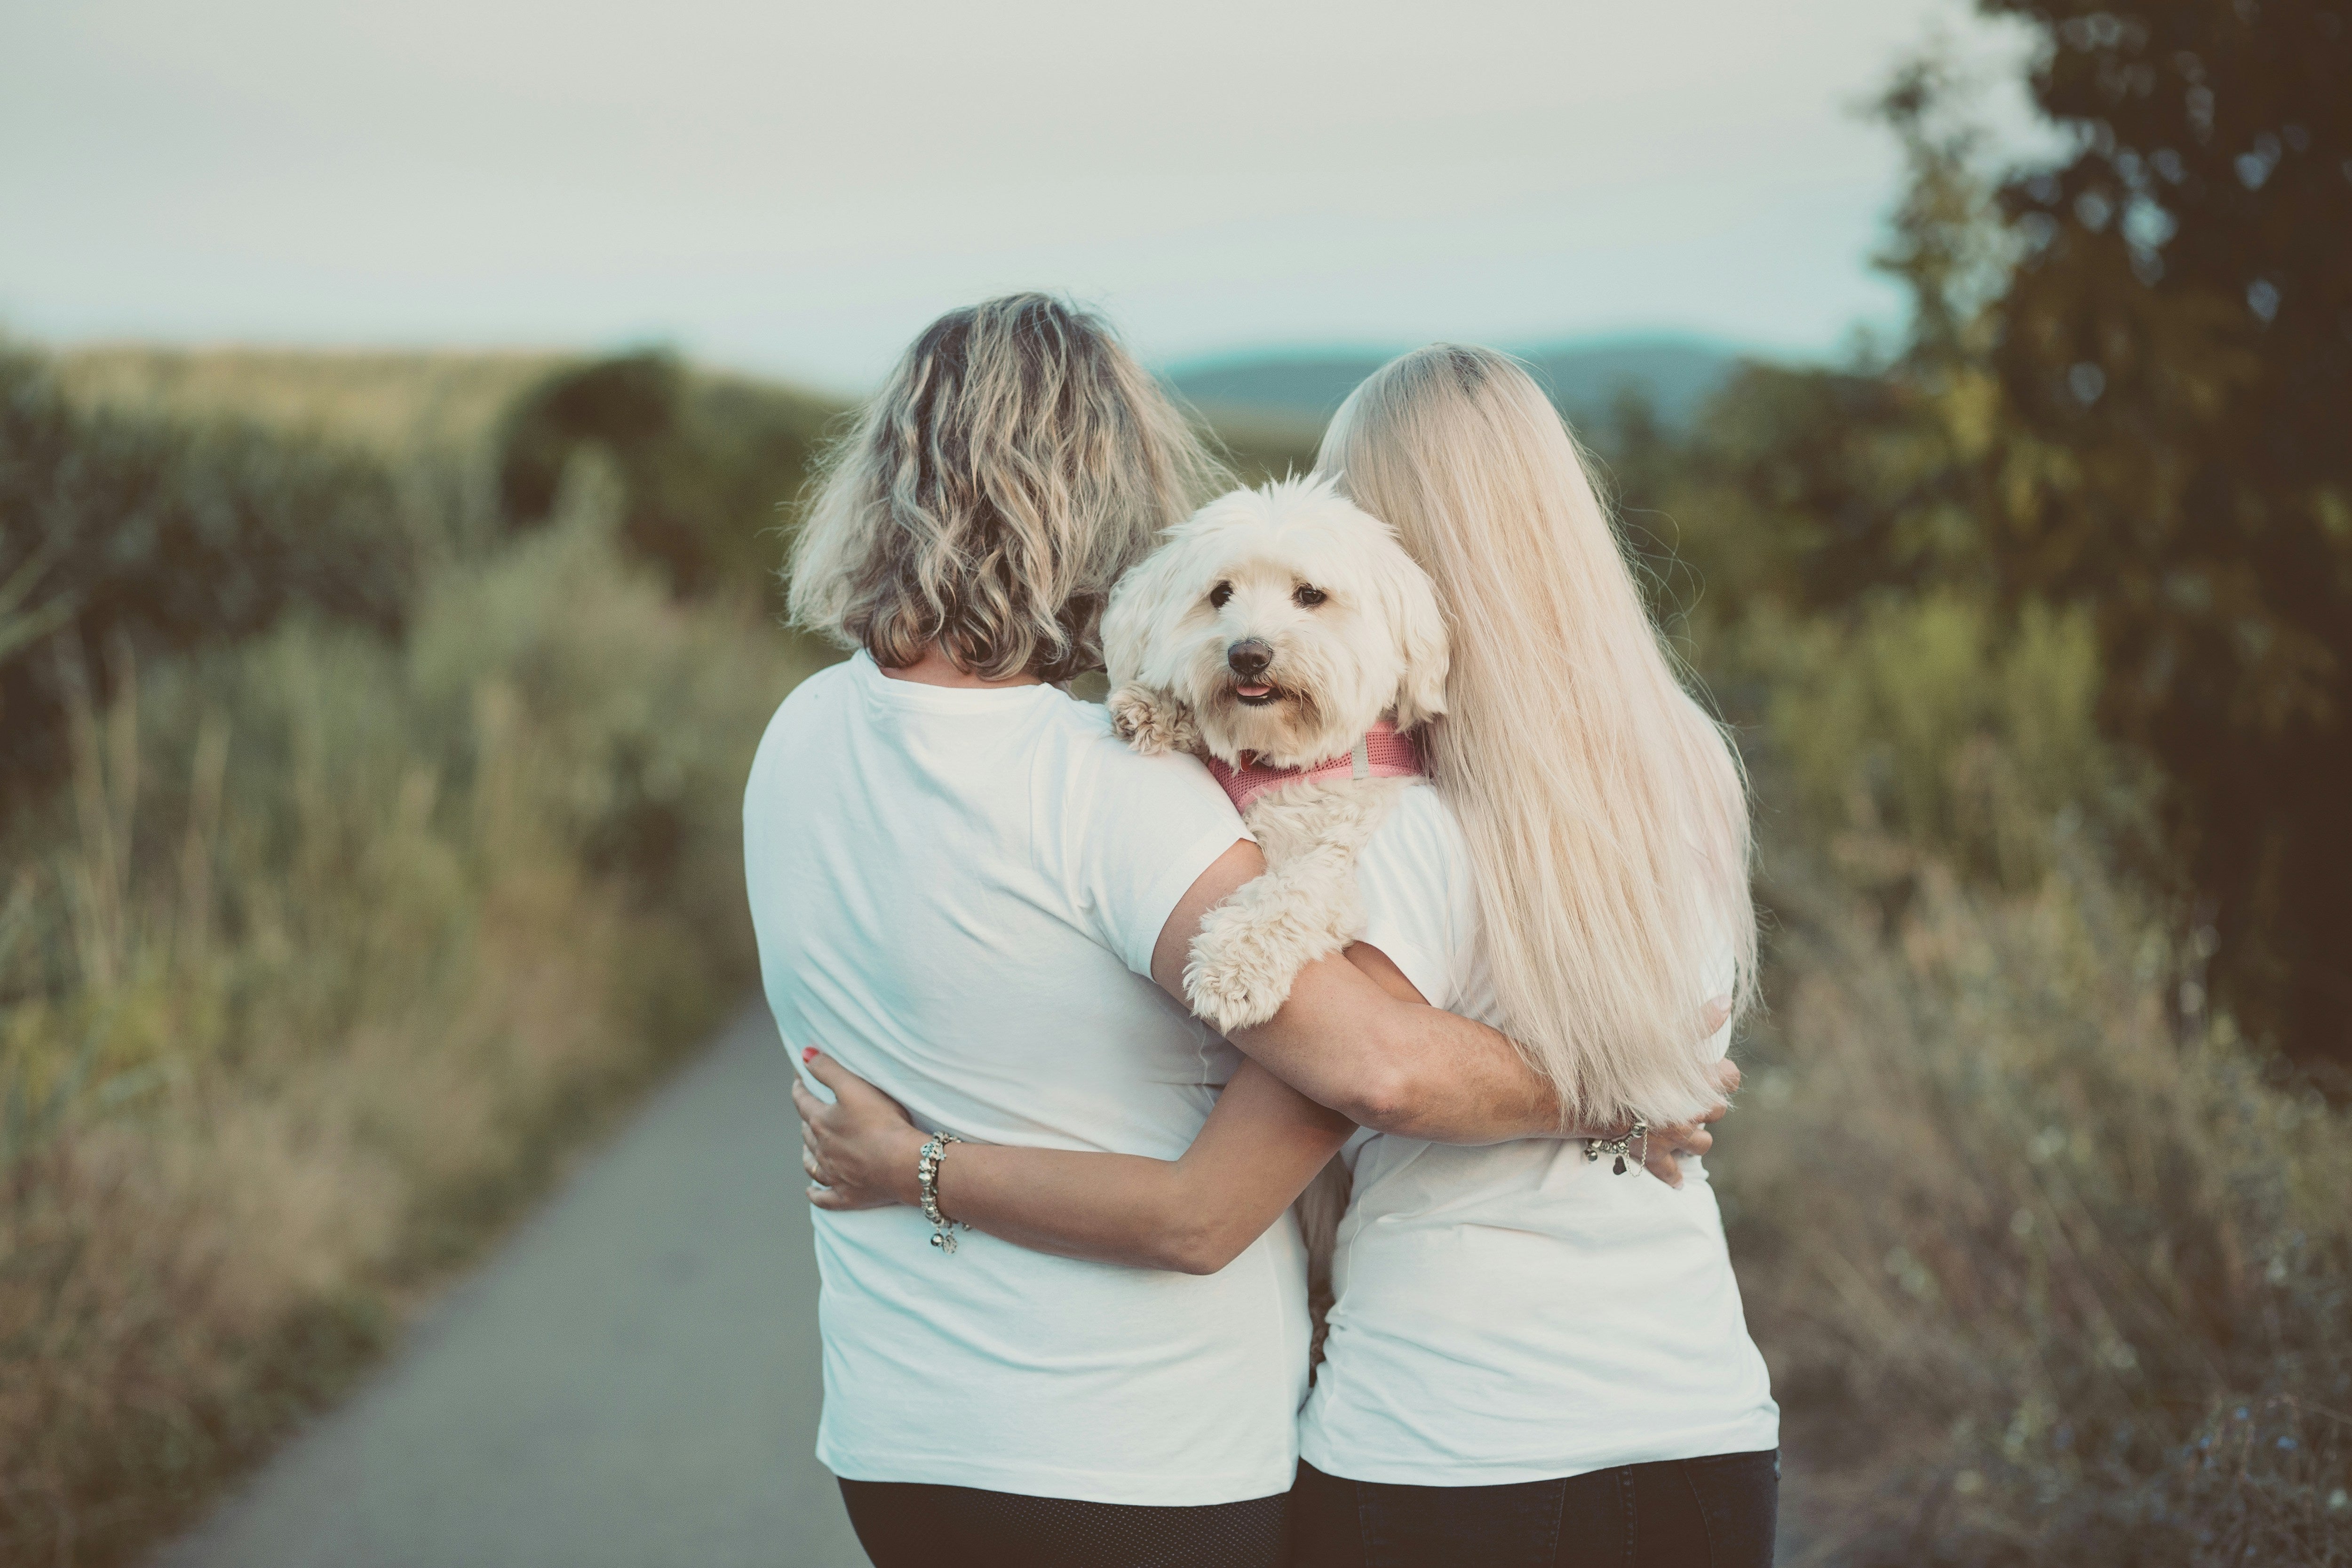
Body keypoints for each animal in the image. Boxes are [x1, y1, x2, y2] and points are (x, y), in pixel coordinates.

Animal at [1101, 472, 1449, 1034]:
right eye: (1221, 593)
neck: (1280, 759)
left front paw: (1232, 969)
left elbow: (1291, 895)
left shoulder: (1338, 855)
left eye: (1309, 594)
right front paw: (1155, 709)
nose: (1247, 654)